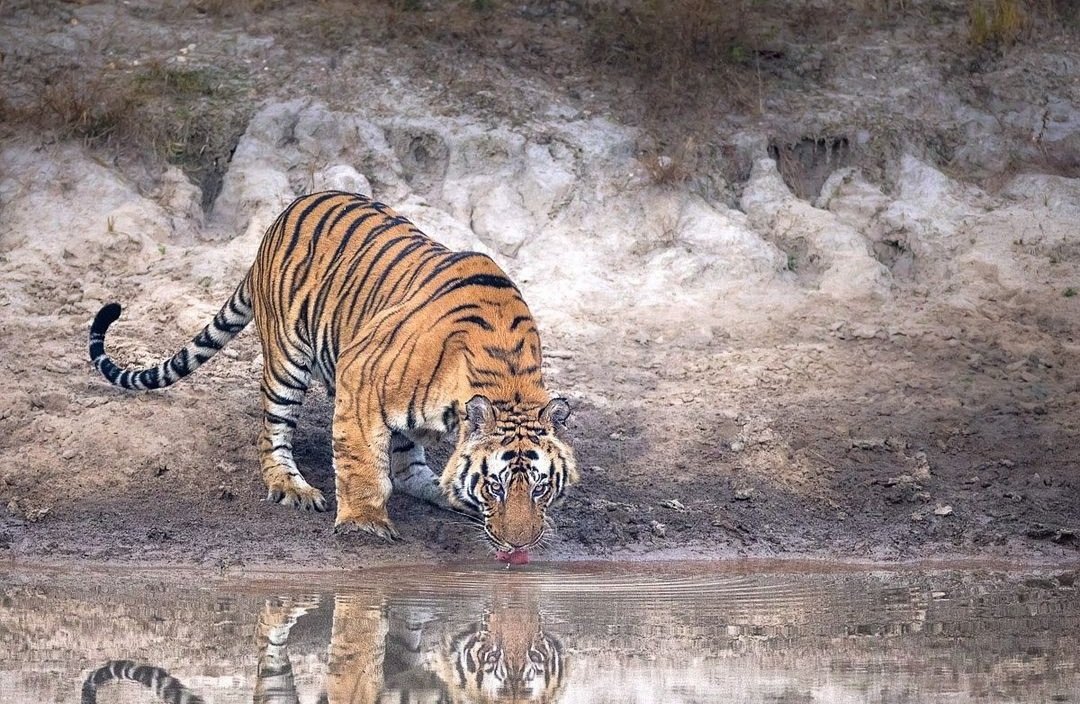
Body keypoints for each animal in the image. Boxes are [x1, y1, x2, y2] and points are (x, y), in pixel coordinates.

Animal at [88, 191, 578, 554]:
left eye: (540, 488)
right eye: (495, 486)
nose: (519, 546)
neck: (508, 378)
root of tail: (281, 217)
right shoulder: (360, 377)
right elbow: (362, 463)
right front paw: (364, 525)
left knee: (407, 466)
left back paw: (440, 490)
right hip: (287, 359)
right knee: (271, 433)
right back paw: (292, 487)